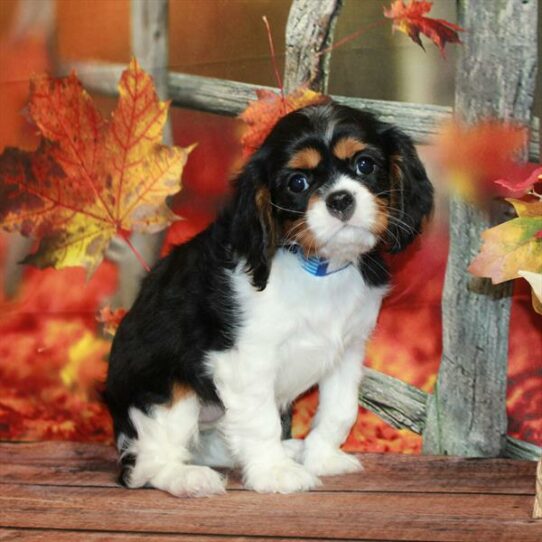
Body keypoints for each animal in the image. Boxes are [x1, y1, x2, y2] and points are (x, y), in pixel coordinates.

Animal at [105, 101, 434, 498]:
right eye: (298, 183)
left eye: (365, 165)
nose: (340, 199)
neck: (318, 266)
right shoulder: (246, 361)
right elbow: (261, 421)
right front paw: (275, 473)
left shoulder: (348, 352)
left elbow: (340, 410)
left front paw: (322, 457)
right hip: (168, 391)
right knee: (144, 466)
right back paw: (189, 478)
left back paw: (291, 449)